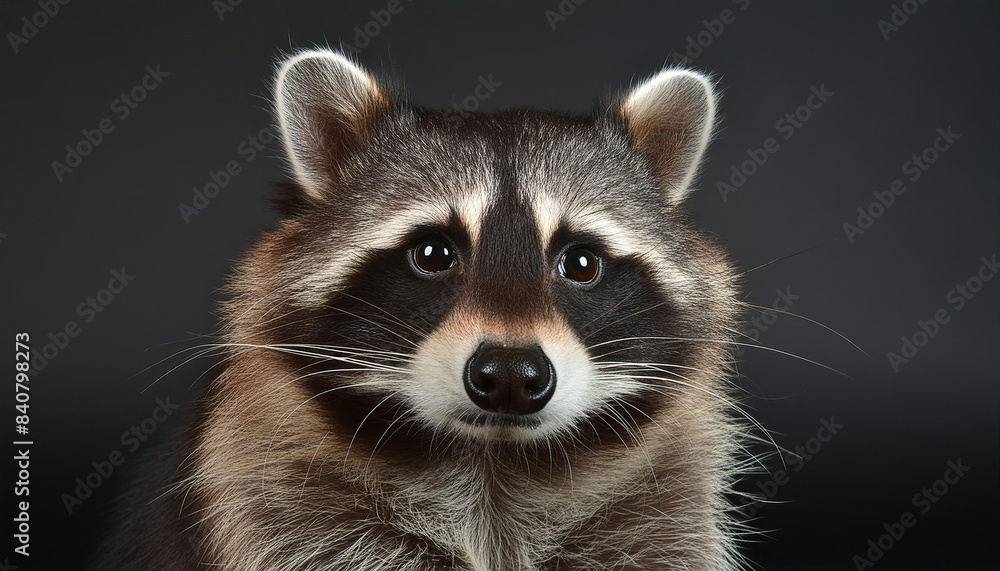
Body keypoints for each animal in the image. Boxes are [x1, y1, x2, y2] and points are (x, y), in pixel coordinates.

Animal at [93, 49, 745, 570]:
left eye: (581, 263)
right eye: (433, 253)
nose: (510, 375)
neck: (490, 465)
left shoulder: (664, 517)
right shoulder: (277, 507)